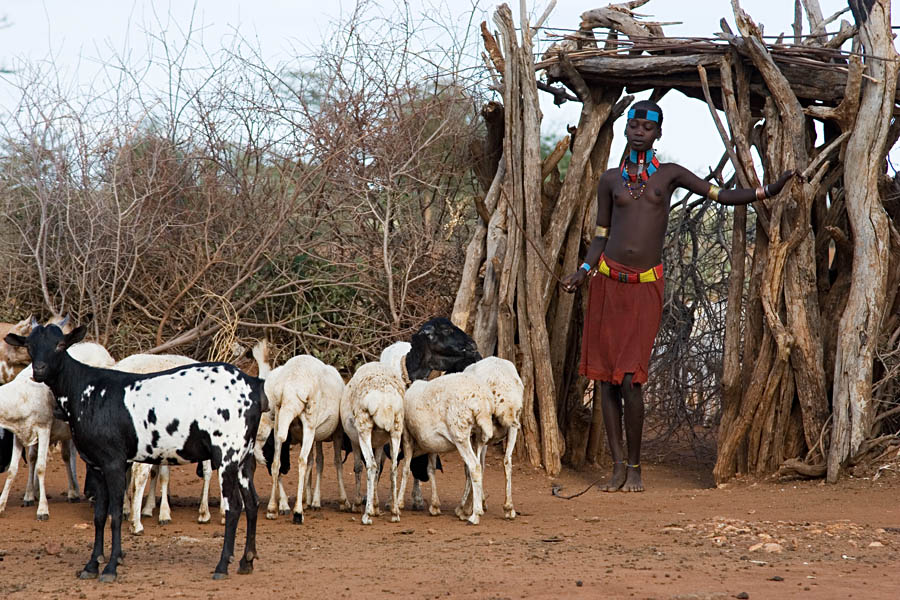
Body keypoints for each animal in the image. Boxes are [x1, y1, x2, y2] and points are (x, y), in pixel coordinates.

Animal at [5, 322, 266, 581]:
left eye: (60, 345)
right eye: (29, 346)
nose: (39, 370)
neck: (87, 390)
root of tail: (253, 386)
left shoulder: (114, 461)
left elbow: (116, 514)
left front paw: (110, 567)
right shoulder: (95, 464)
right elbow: (99, 516)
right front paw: (92, 565)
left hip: (227, 454)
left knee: (234, 506)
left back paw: (222, 565)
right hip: (244, 456)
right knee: (252, 502)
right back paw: (246, 561)